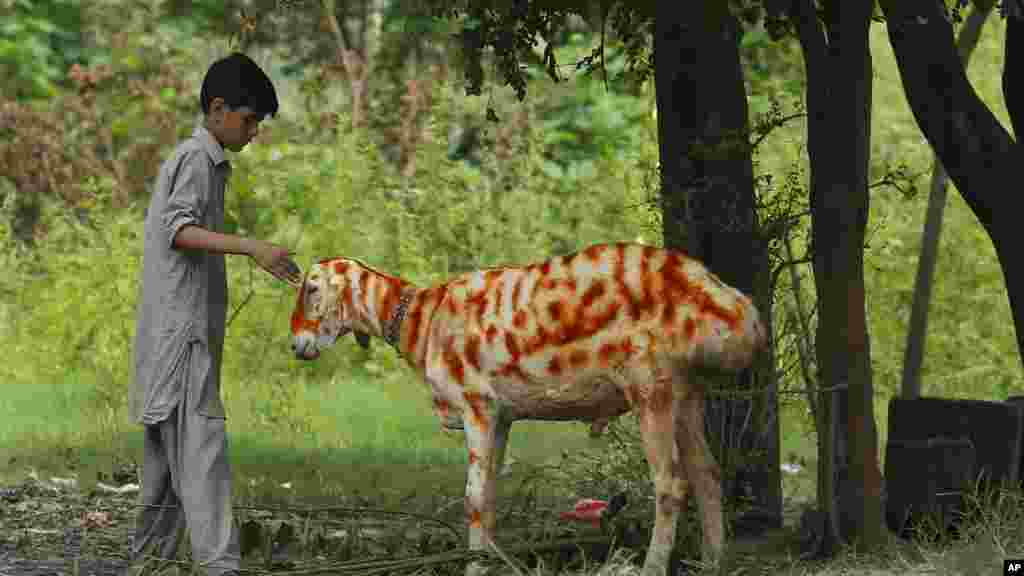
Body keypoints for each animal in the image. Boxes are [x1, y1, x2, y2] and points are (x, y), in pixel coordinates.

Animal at [292, 241, 765, 573]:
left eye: (311, 288)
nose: (297, 345)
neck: (423, 323)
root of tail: (737, 310)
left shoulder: (477, 406)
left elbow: (473, 496)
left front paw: (476, 567)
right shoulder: (501, 417)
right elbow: (488, 497)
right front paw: (489, 561)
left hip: (651, 386)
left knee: (670, 483)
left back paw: (651, 567)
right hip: (687, 392)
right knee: (707, 474)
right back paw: (714, 562)